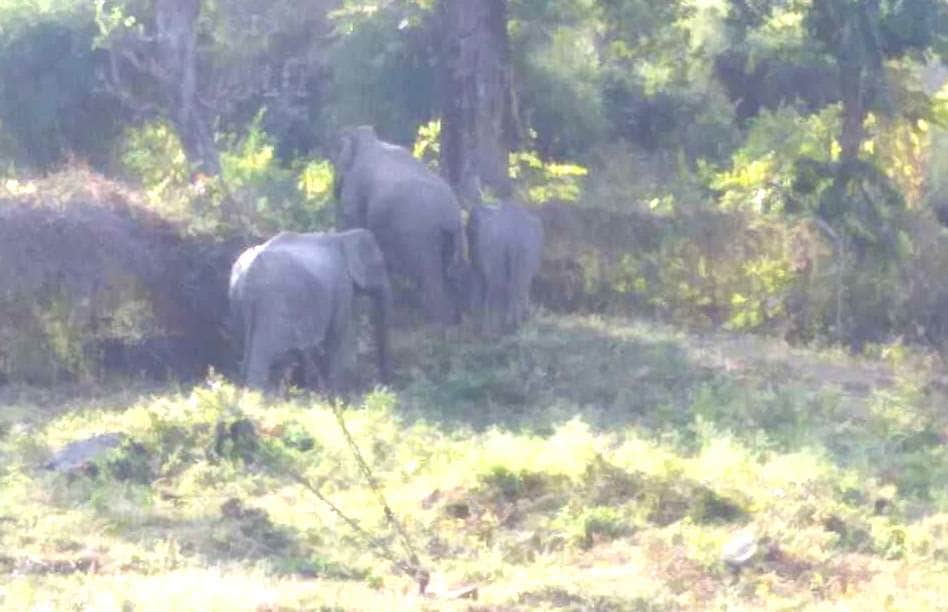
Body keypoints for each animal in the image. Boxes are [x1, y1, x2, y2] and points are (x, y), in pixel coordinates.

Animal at [228, 228, 392, 394]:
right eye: (381, 264)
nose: (384, 385)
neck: (342, 237)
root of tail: (247, 276)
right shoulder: (341, 285)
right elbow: (335, 336)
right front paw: (336, 395)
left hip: (238, 304)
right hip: (270, 306)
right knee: (262, 354)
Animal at [332, 125, 464, 326]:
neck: (369, 139)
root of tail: (449, 214)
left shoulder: (354, 187)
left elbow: (352, 221)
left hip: (421, 234)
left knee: (431, 276)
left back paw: (437, 325)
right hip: (453, 238)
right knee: (451, 272)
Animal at [467, 201, 544, 335]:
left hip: (502, 247)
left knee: (499, 287)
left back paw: (492, 330)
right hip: (526, 248)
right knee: (518, 284)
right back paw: (510, 326)